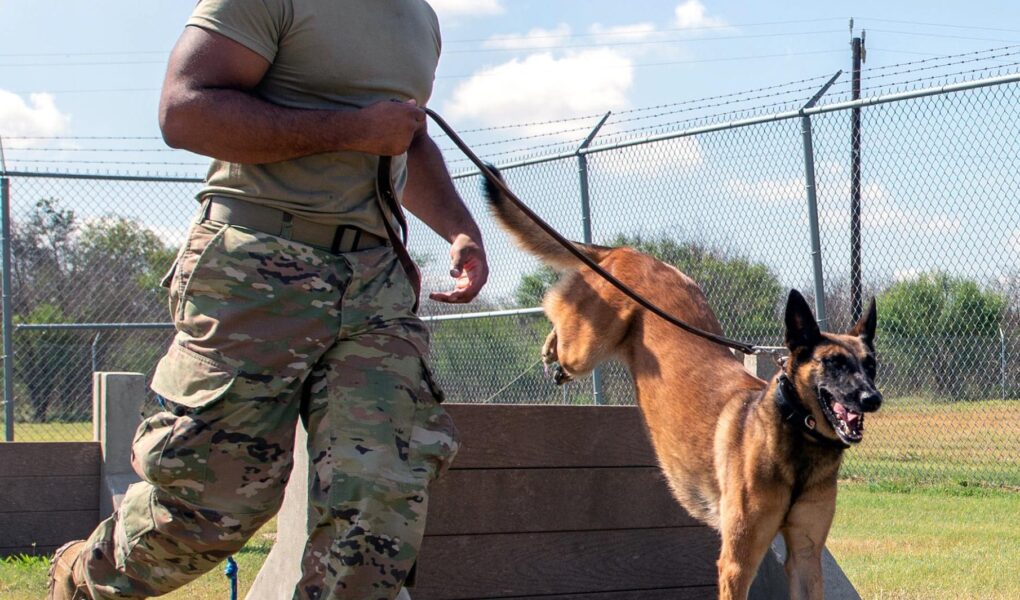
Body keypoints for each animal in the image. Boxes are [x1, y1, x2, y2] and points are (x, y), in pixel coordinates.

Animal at [481, 168, 881, 600]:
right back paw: (549, 351)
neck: (797, 438)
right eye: (834, 363)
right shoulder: (738, 562)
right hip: (587, 346)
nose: (872, 399)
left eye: (871, 365)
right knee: (556, 315)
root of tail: (627, 251)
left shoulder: (806, 557)